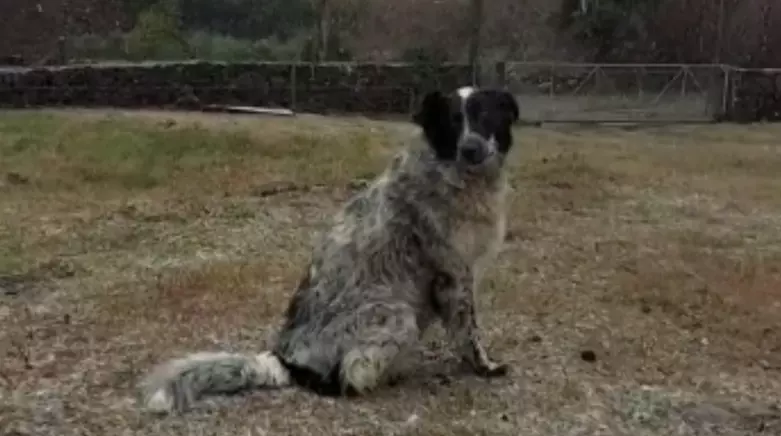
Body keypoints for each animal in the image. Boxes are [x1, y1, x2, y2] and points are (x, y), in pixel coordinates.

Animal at [138, 84, 520, 412]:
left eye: (485, 116)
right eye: (453, 121)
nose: (471, 148)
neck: (459, 176)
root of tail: (287, 361)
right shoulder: (454, 275)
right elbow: (469, 333)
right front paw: (484, 367)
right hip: (397, 315)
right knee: (342, 378)